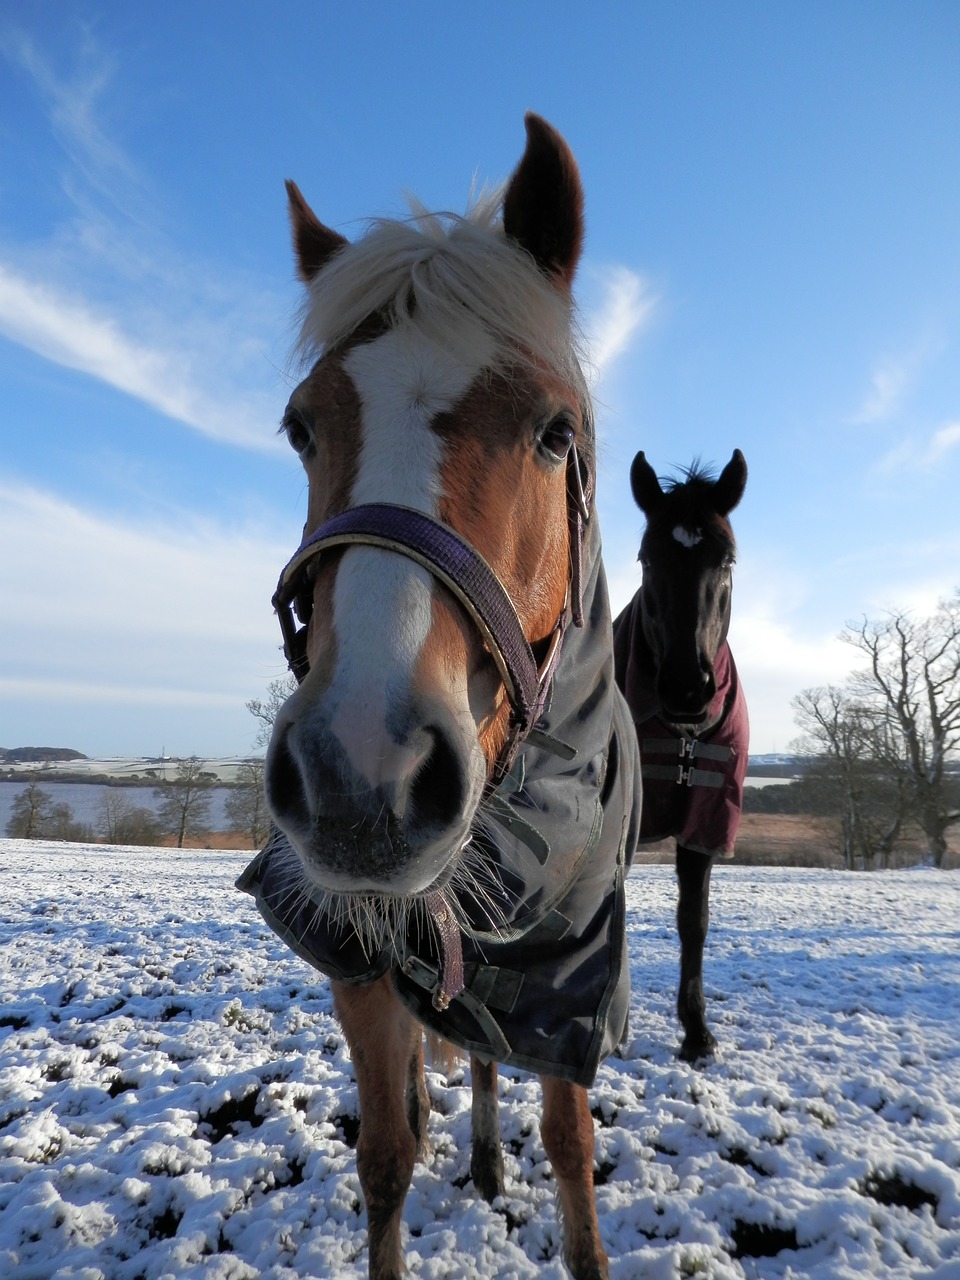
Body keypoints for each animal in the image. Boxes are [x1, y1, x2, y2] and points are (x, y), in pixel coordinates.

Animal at [239, 115, 642, 1274]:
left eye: (555, 432)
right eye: (302, 427)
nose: (362, 775)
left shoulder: (569, 981)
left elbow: (570, 1146)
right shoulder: (354, 951)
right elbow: (385, 1154)